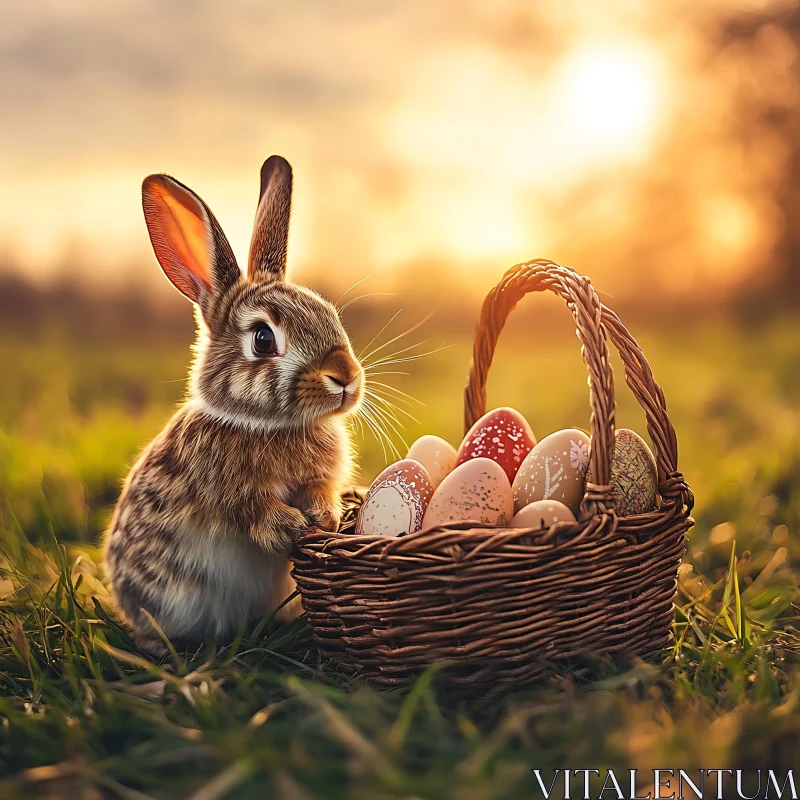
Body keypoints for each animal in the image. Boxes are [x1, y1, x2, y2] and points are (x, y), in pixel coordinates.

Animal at [101, 156, 364, 656]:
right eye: (263, 339)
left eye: (331, 314)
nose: (345, 377)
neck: (268, 423)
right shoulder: (232, 499)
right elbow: (253, 515)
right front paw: (291, 526)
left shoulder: (321, 476)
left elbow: (320, 490)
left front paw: (325, 516)